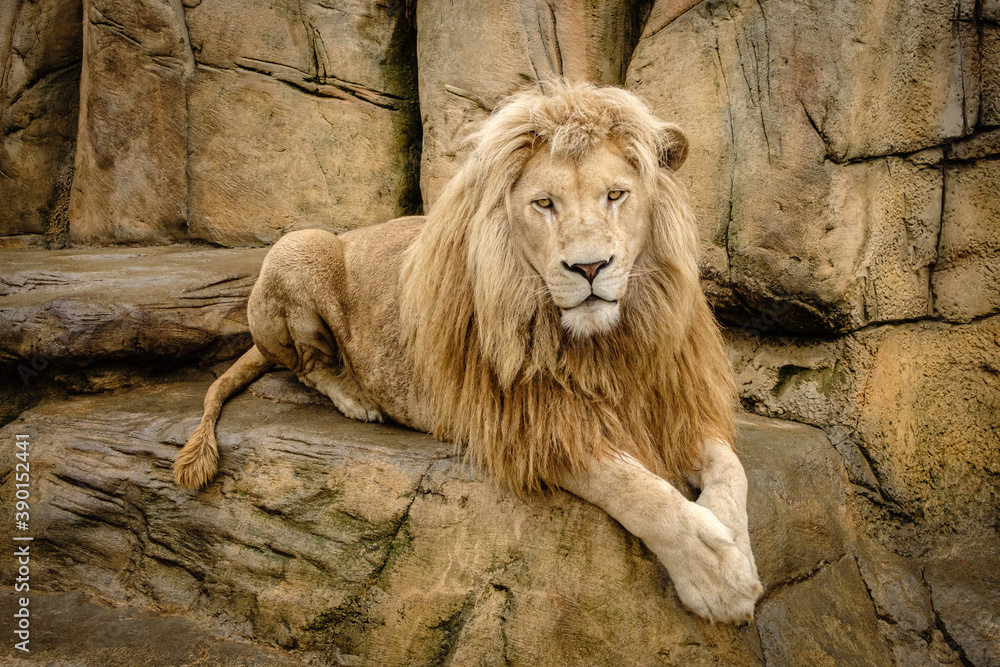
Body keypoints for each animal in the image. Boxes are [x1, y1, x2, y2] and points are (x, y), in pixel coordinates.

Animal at [174, 81, 763, 623]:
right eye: (544, 204)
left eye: (616, 195)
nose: (590, 267)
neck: (605, 343)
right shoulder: (523, 423)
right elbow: (633, 487)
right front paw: (715, 575)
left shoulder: (674, 400)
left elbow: (732, 468)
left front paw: (733, 542)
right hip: (299, 245)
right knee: (305, 363)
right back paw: (358, 399)